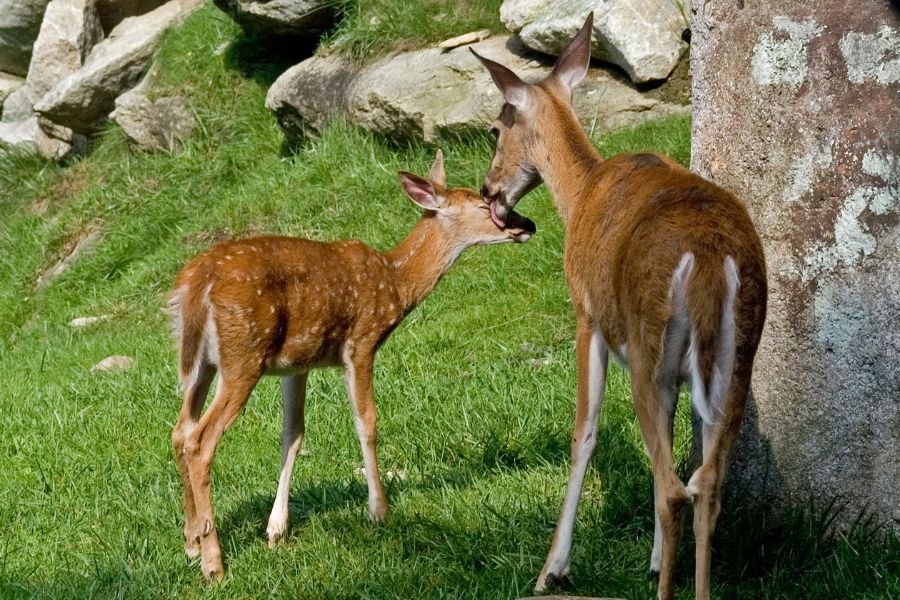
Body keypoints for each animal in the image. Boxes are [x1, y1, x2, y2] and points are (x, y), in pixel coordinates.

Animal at [168, 150, 535, 582]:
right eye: (483, 206)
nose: (528, 225)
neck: (396, 282)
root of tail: (195, 284)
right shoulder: (361, 341)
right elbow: (367, 420)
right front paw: (378, 511)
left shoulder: (297, 365)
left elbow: (293, 434)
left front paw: (276, 529)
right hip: (244, 353)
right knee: (200, 440)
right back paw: (214, 563)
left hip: (201, 364)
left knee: (180, 431)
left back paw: (191, 544)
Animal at [472, 13, 767, 600]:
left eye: (496, 128)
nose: (488, 189)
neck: (582, 190)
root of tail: (707, 261)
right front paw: (653, 559)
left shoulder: (587, 316)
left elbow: (583, 433)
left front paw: (552, 569)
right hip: (735, 359)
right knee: (706, 484)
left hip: (649, 345)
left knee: (676, 488)